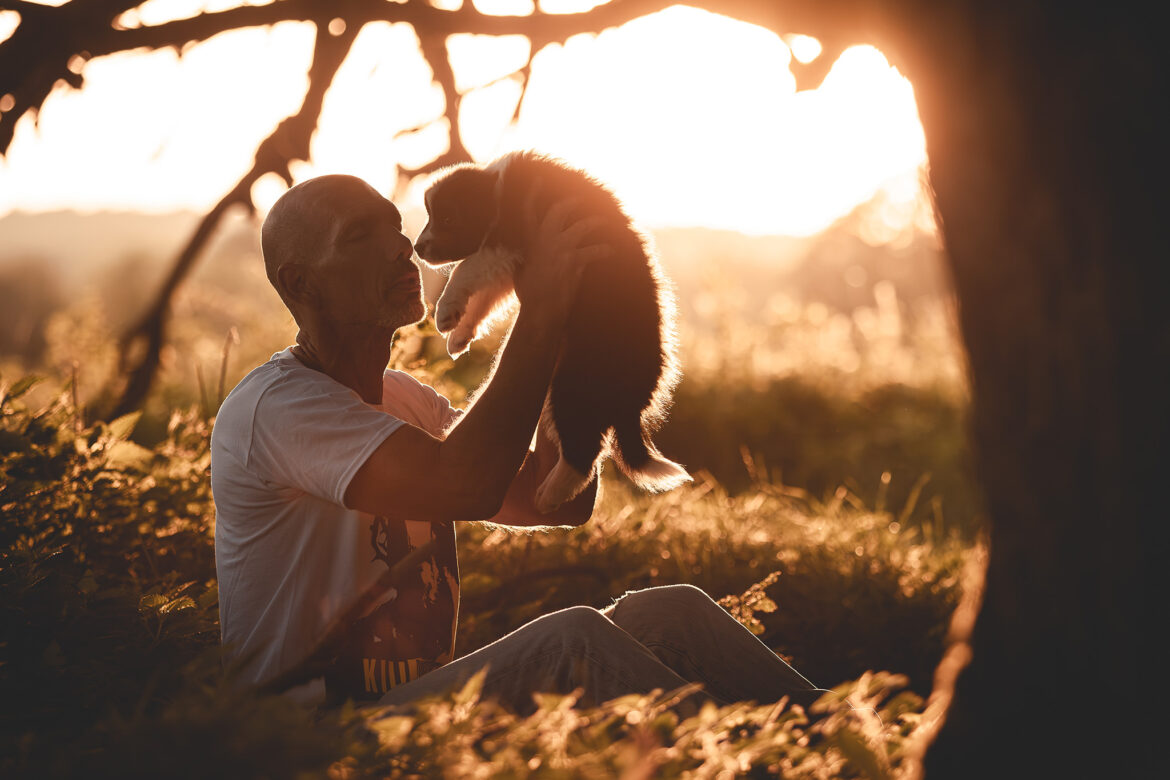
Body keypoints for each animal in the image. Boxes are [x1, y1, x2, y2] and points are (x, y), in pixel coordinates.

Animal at [416, 150, 687, 512]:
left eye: (447, 219)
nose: (418, 248)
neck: (499, 191)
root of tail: (633, 400)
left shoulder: (509, 237)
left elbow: (467, 267)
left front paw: (446, 310)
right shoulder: (512, 257)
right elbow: (486, 295)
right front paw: (460, 332)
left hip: (576, 382)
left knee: (583, 452)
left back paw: (548, 498)